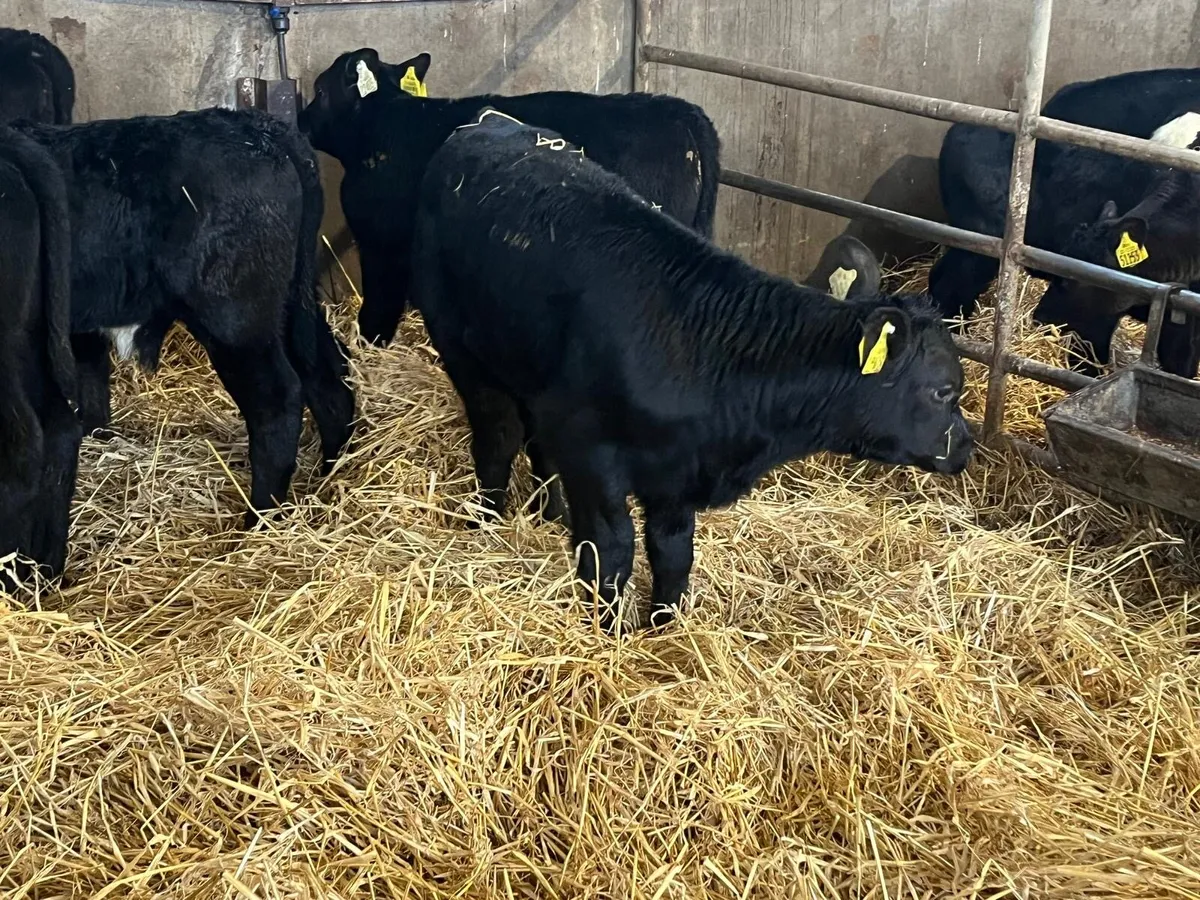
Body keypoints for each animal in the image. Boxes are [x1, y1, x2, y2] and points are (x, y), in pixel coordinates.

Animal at [19, 107, 356, 526]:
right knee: (328, 374)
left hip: (236, 322)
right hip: (293, 302)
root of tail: (262, 128)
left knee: (276, 401)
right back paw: (331, 475)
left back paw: (257, 521)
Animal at [298, 48, 721, 347]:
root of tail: (679, 108)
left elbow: (381, 304)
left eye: (320, 90)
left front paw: (368, 343)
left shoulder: (381, 245)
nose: (300, 121)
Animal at [411, 109, 973, 632]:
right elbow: (610, 552)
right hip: (463, 350)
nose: (966, 447)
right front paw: (608, 633)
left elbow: (673, 554)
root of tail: (490, 123)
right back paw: (485, 522)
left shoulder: (676, 475)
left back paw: (550, 515)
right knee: (497, 437)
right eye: (943, 391)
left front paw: (662, 629)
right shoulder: (592, 455)